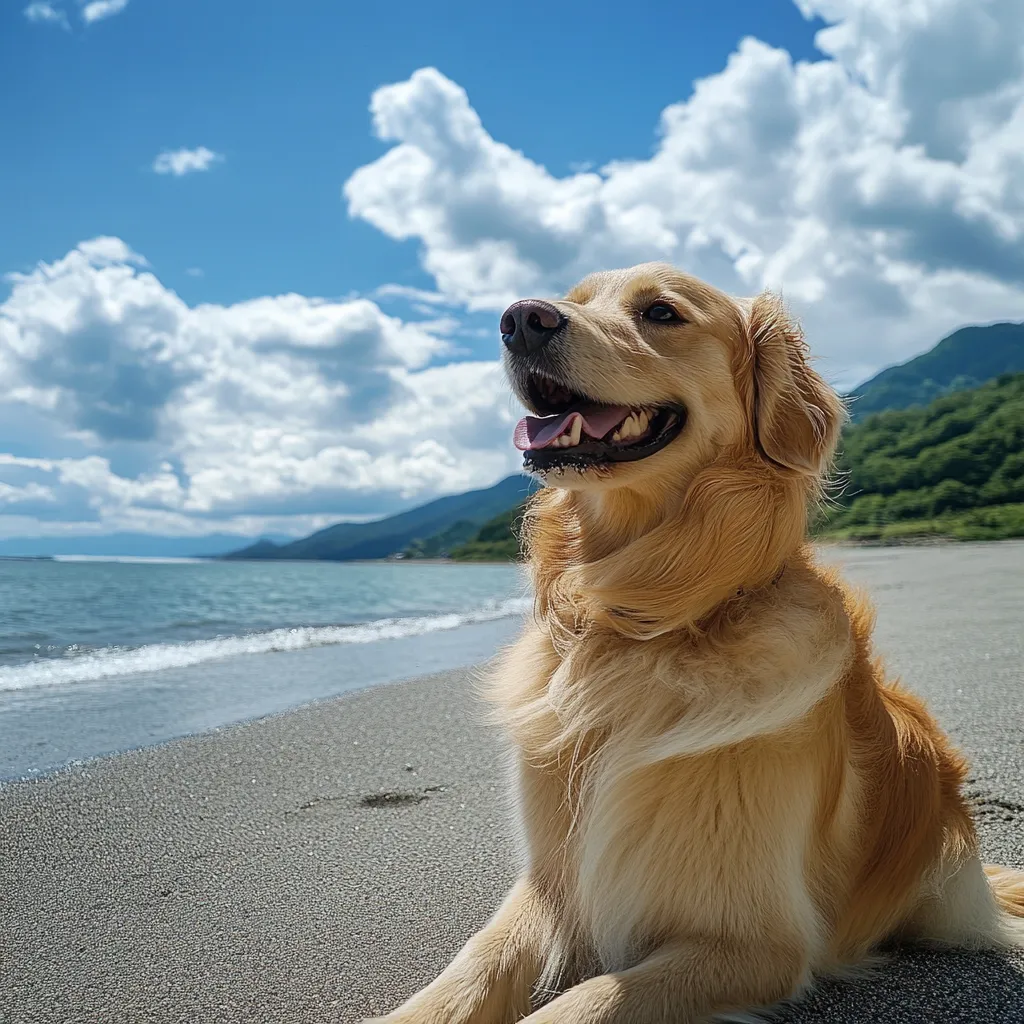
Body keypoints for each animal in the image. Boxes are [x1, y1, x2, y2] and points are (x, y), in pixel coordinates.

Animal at [368, 264, 1024, 1024]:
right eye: (575, 298)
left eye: (661, 312)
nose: (520, 319)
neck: (643, 624)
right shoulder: (551, 883)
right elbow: (471, 968)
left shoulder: (754, 944)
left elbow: (583, 1002)